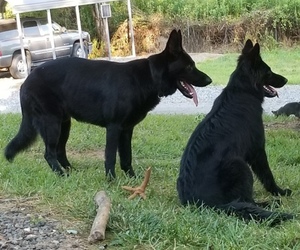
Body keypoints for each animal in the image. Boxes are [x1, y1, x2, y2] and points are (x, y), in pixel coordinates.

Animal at [4, 29, 211, 178]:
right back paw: (61, 175)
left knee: (60, 151)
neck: (150, 77)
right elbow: (110, 156)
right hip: (52, 124)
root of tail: (26, 81)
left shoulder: (126, 130)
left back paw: (71, 173)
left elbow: (126, 157)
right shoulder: (114, 127)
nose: (210, 80)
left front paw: (132, 178)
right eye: (190, 66)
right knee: (49, 153)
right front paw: (111, 180)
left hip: (64, 124)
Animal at [177, 40, 292, 226]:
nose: (286, 79)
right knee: (246, 201)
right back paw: (270, 203)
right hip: (239, 165)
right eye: (268, 71)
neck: (243, 90)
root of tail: (200, 202)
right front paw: (278, 191)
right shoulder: (257, 150)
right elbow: (267, 175)